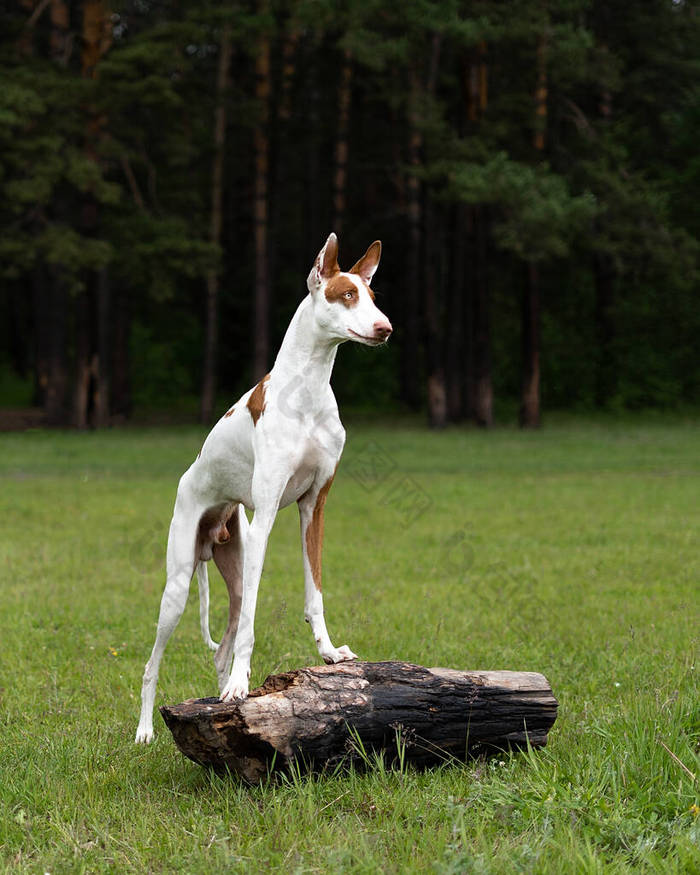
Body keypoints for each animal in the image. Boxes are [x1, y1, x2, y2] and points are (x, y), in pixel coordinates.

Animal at [134, 231, 392, 740]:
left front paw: (329, 652)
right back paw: (147, 729)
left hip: (233, 563)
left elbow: (315, 592)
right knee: (154, 662)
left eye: (372, 295)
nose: (385, 328)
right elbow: (254, 624)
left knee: (221, 644)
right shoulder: (267, 514)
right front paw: (241, 683)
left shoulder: (314, 507)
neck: (306, 392)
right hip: (178, 583)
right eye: (345, 295)